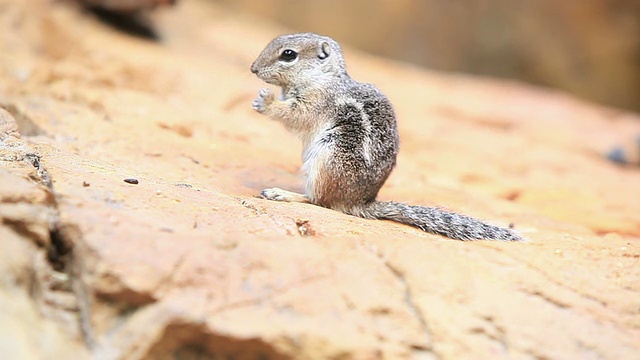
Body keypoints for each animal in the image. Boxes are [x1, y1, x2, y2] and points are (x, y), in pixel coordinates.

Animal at [249, 33, 520, 240]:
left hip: (328, 157)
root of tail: (361, 202)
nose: (253, 68)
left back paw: (282, 193)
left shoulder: (316, 102)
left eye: (288, 55)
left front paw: (265, 101)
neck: (322, 78)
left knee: (318, 200)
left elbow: (295, 115)